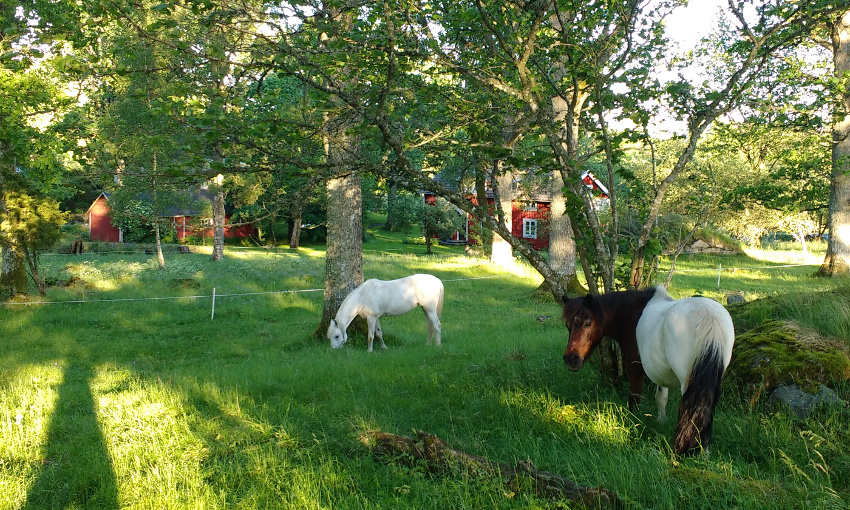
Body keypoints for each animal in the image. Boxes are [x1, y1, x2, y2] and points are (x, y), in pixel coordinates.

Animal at [560, 284, 732, 456]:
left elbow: (635, 398)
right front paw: (661, 421)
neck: (632, 313)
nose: (571, 359)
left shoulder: (633, 366)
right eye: (568, 325)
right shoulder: (660, 370)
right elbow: (661, 397)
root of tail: (709, 317)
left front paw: (633, 422)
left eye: (587, 323)